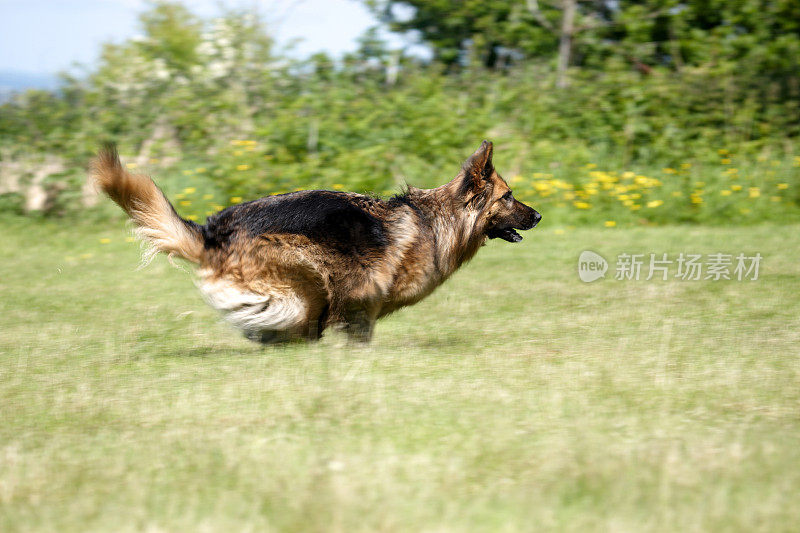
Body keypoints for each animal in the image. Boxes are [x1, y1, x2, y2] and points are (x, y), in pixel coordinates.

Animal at [92, 139, 544, 342]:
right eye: (508, 197)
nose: (539, 216)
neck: (436, 221)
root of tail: (213, 231)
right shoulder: (362, 290)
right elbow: (358, 327)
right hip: (304, 268)